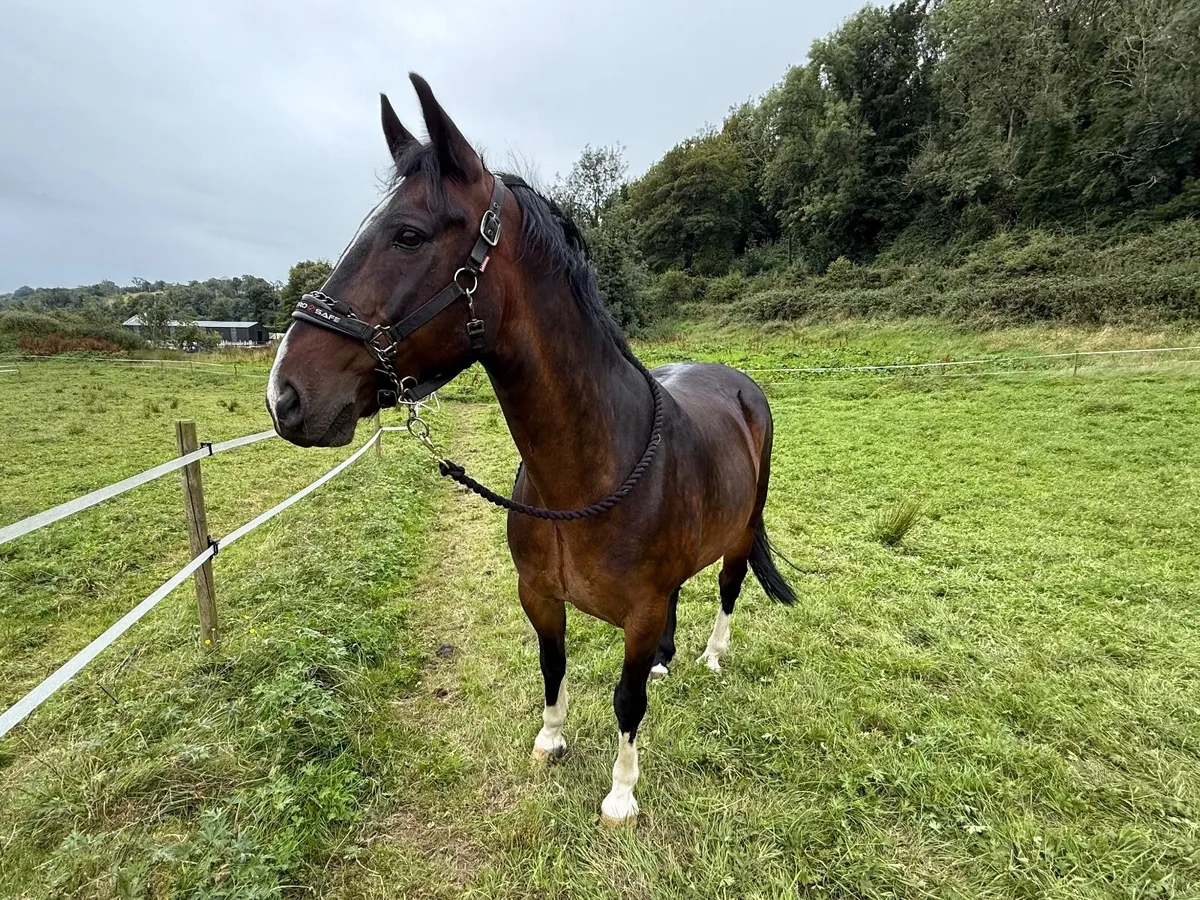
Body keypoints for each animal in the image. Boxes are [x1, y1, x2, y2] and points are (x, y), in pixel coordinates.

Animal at [267, 73, 797, 826]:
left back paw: (712, 656)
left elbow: (627, 699)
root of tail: (740, 383)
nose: (285, 394)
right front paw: (551, 740)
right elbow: (554, 666)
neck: (586, 479)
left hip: (742, 529)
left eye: (408, 236)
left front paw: (621, 794)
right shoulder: (539, 597)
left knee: (727, 587)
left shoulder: (637, 612)